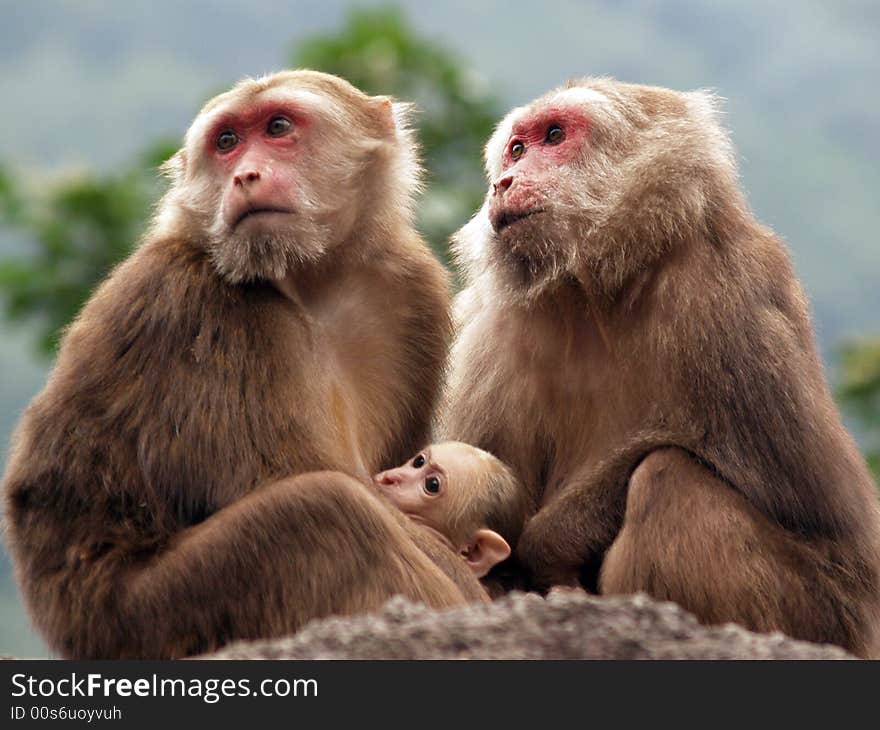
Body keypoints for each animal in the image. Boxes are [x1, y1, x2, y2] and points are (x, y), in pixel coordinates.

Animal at [0, 69, 484, 660]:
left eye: (277, 127)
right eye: (227, 141)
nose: (245, 175)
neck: (307, 282)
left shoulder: (410, 287)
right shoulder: (196, 309)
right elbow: (306, 481)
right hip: (141, 621)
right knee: (324, 512)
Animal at [444, 78, 880, 656]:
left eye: (554, 136)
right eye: (516, 149)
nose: (504, 182)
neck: (595, 293)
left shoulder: (720, 292)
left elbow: (806, 503)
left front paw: (551, 541)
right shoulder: (493, 328)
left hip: (822, 616)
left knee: (667, 479)